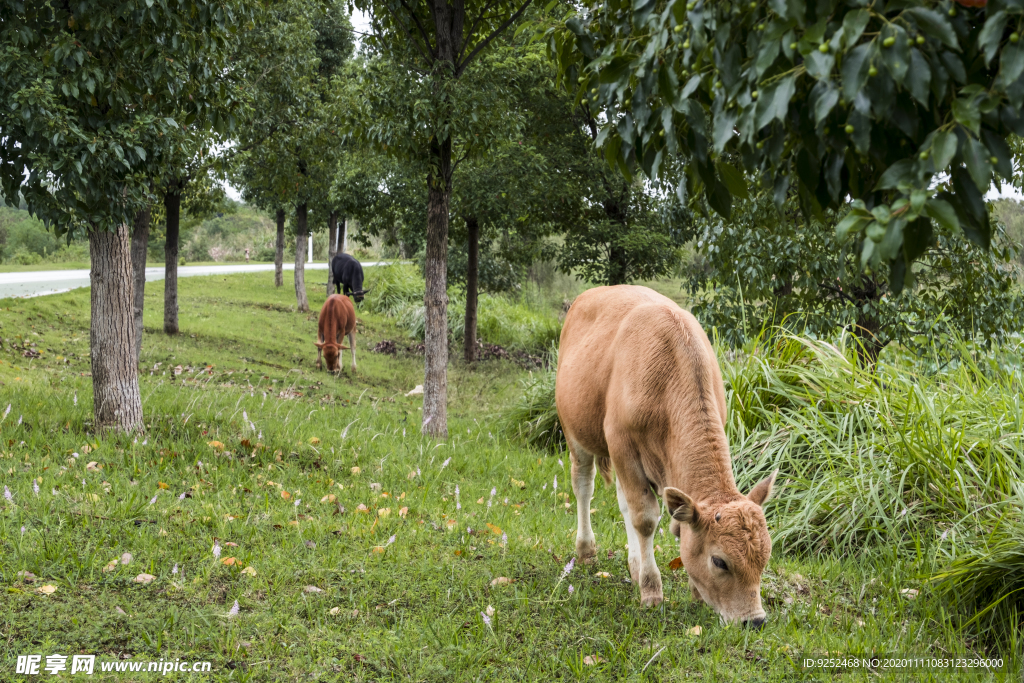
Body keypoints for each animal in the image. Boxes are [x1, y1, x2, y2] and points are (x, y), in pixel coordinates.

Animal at [557, 286, 778, 626]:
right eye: (720, 561)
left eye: (765, 557)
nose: (754, 620)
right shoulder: (622, 445)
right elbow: (645, 519)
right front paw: (651, 591)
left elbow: (670, 523)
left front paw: (691, 589)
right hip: (575, 432)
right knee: (584, 485)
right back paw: (586, 550)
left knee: (623, 501)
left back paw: (634, 565)